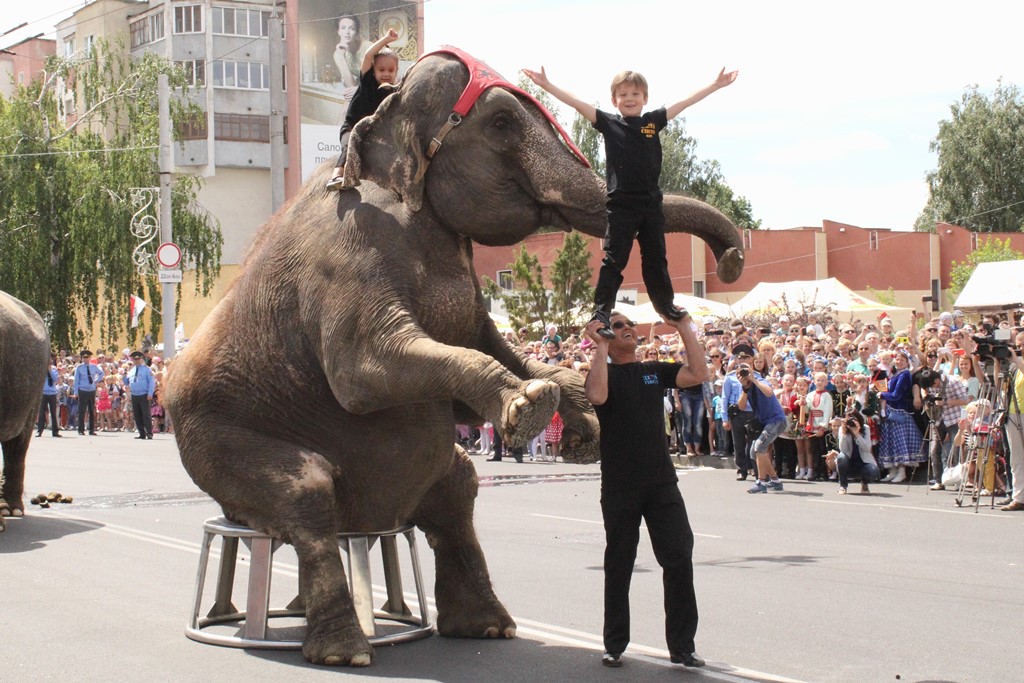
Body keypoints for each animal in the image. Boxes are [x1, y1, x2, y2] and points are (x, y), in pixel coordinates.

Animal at [167, 48, 745, 667]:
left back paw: (484, 627)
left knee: (458, 487)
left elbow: (487, 361)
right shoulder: (343, 253)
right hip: (212, 441)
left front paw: (578, 424)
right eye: (502, 123)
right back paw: (346, 651)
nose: (731, 260)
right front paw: (529, 406)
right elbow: (362, 373)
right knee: (306, 493)